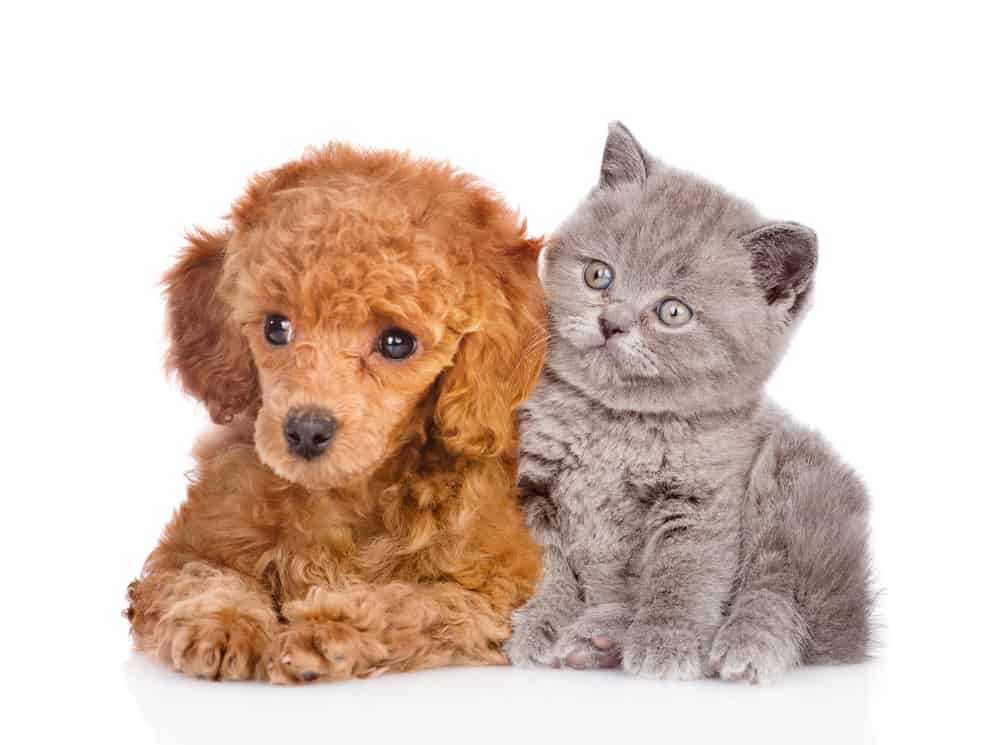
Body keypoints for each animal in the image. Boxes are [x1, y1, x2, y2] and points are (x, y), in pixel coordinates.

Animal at [129, 142, 548, 684]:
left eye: (397, 342)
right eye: (276, 327)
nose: (306, 430)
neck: (348, 491)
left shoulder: (495, 590)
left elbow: (409, 602)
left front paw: (326, 632)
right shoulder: (189, 546)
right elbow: (200, 576)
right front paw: (220, 622)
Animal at [504, 120, 872, 680]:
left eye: (673, 312)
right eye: (598, 275)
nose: (611, 322)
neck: (613, 425)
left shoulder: (703, 498)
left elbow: (682, 574)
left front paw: (666, 641)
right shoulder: (531, 486)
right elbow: (545, 563)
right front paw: (541, 620)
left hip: (792, 470)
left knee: (778, 584)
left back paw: (743, 643)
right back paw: (598, 636)